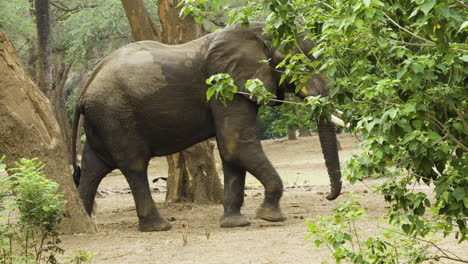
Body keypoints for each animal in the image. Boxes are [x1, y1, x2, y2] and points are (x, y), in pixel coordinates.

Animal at [72, 22, 344, 231]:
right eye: (300, 63)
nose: (328, 196)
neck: (258, 32)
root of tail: (83, 91)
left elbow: (231, 152)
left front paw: (235, 223)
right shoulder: (226, 87)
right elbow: (236, 145)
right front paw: (270, 217)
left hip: (104, 120)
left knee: (93, 167)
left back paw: (86, 221)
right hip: (116, 115)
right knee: (134, 165)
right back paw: (159, 227)